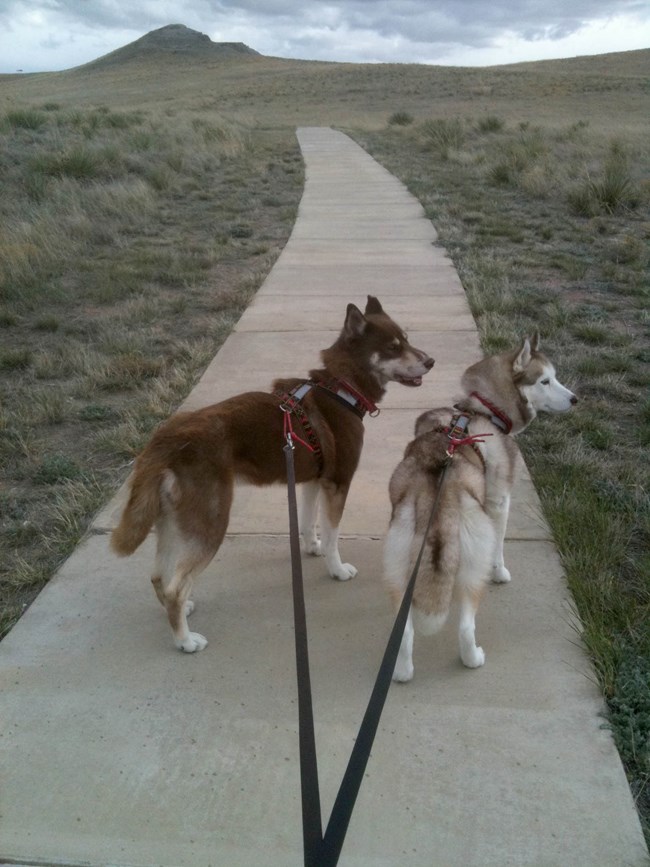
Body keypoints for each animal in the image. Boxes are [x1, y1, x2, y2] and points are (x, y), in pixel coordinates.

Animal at [112, 298, 432, 652]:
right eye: (393, 347)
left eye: (407, 339)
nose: (431, 361)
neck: (341, 389)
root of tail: (164, 440)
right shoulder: (338, 483)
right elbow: (333, 535)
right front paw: (336, 568)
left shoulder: (312, 481)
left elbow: (307, 522)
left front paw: (312, 547)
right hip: (210, 522)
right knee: (174, 588)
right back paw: (185, 640)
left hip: (174, 521)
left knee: (158, 576)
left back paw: (182, 613)